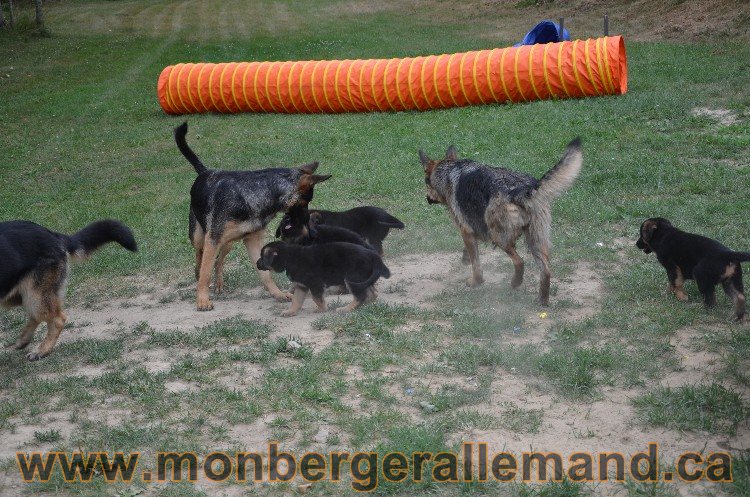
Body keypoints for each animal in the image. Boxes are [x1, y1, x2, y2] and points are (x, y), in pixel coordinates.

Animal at [1, 219, 138, 358]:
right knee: (36, 316)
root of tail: (53, 235)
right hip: (20, 296)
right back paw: (24, 340)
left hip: (35, 296)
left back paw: (42, 350)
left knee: (57, 319)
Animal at [176, 123, 332, 310]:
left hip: (228, 243)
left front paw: (278, 294)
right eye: (304, 202)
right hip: (200, 237)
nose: (309, 228)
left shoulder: (252, 241)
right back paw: (198, 274)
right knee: (200, 257)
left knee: (219, 260)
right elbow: (205, 272)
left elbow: (265, 274)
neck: (253, 194)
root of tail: (205, 171)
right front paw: (202, 300)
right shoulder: (212, 240)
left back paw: (219, 283)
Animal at [258, 239, 390, 316]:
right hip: (362, 279)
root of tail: (372, 255)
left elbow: (316, 298)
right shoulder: (301, 285)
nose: (256, 263)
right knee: (372, 293)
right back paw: (366, 304)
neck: (289, 257)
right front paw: (290, 311)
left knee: (360, 296)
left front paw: (322, 309)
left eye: (262, 257)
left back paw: (346, 309)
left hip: (352, 278)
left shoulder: (315, 284)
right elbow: (296, 300)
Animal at [420, 138, 584, 304]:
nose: (427, 198)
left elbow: (476, 265)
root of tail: (522, 189)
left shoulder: (465, 230)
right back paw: (541, 302)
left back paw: (515, 283)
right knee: (546, 272)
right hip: (536, 241)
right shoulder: (473, 228)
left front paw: (475, 282)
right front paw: (466, 258)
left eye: (426, 183)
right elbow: (471, 253)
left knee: (519, 261)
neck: (447, 170)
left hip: (499, 238)